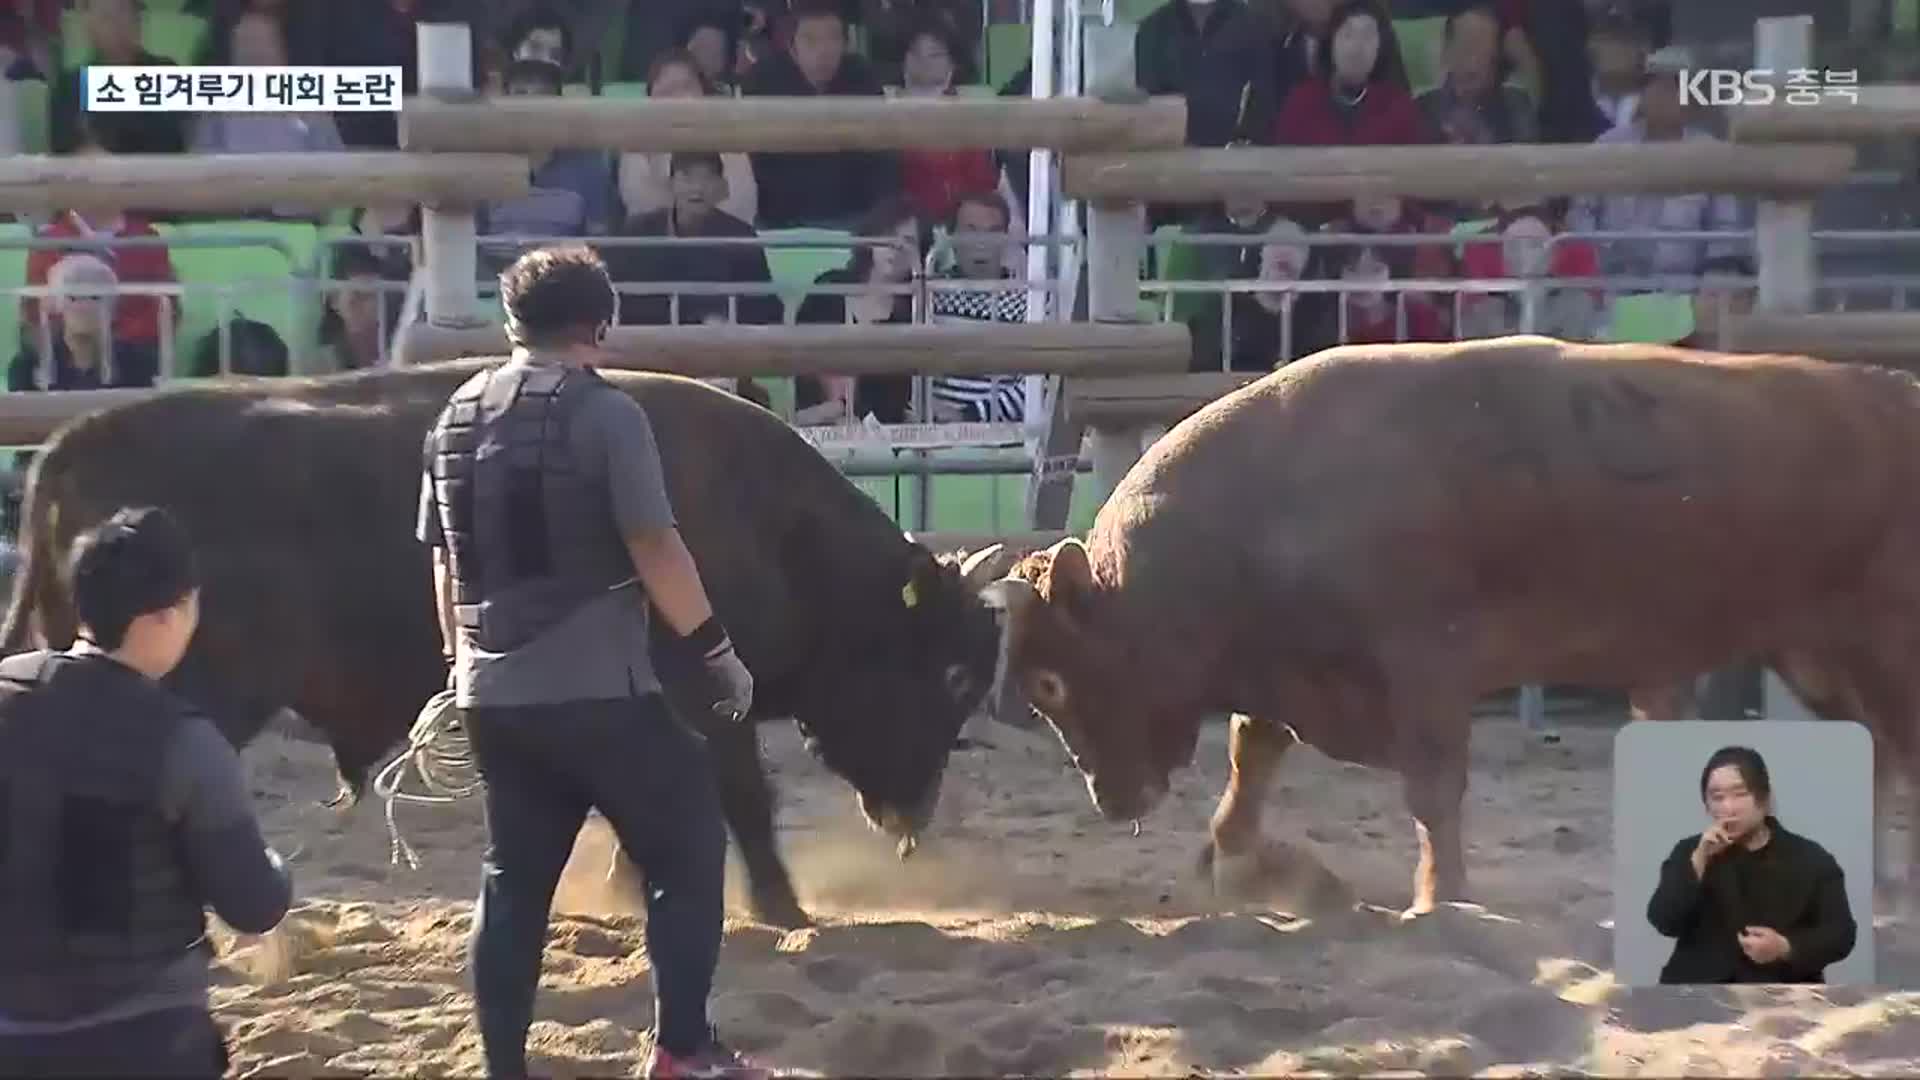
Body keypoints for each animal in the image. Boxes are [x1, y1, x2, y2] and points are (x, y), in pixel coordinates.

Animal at [0, 363, 1013, 926]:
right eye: (952, 671)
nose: (914, 817)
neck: (772, 523)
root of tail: (72, 444)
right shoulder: (707, 699)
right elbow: (742, 802)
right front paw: (783, 906)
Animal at [983, 334, 1920, 907]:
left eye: (1051, 681)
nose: (1113, 800)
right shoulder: (1292, 668)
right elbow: (1256, 753)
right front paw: (1236, 859)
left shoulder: (1425, 665)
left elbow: (1432, 785)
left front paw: (1441, 895)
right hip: (1817, 652)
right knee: (1874, 752)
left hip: (1883, 645)